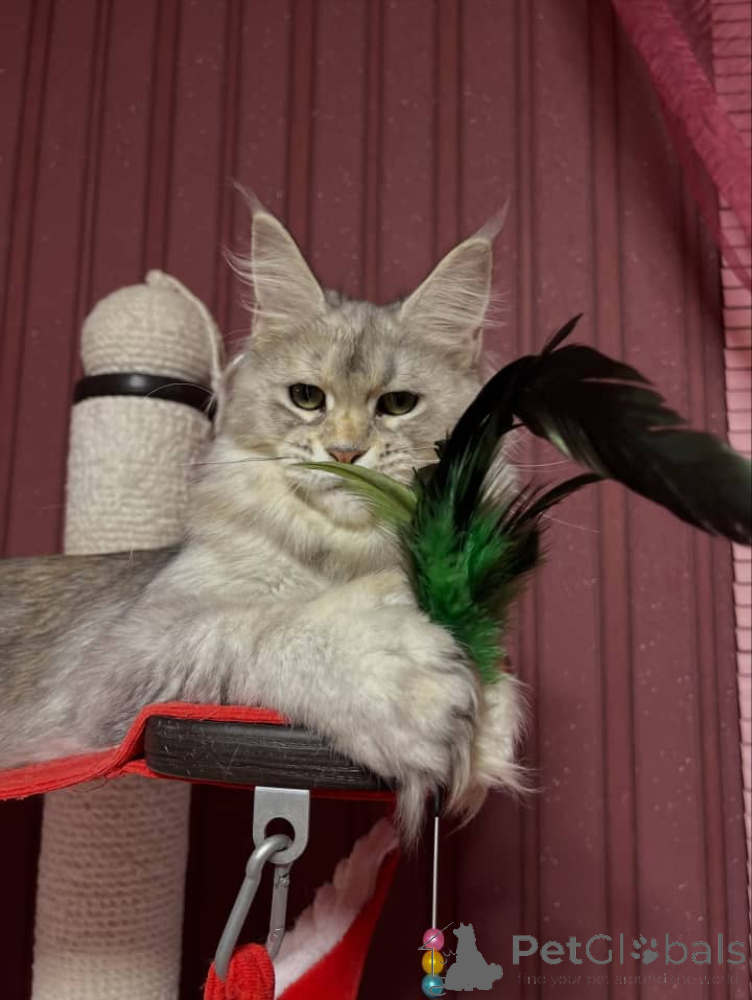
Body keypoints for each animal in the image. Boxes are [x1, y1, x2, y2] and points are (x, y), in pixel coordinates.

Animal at [0, 202, 525, 838]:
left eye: (398, 405)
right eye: (307, 397)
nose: (345, 453)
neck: (340, 557)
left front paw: (490, 728)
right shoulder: (124, 658)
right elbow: (264, 624)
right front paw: (407, 680)